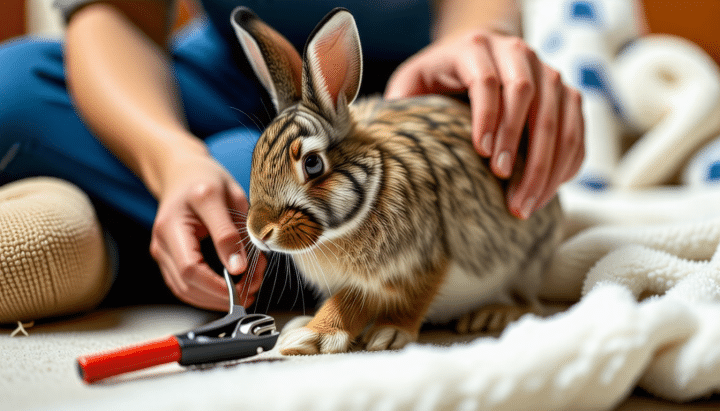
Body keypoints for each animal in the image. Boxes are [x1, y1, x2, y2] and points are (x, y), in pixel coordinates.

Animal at [231, 7, 563, 355]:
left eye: (312, 164)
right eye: (255, 157)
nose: (259, 232)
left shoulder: (423, 260)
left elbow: (370, 302)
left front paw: (355, 334)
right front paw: (303, 327)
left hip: (526, 265)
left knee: (529, 304)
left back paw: (491, 315)